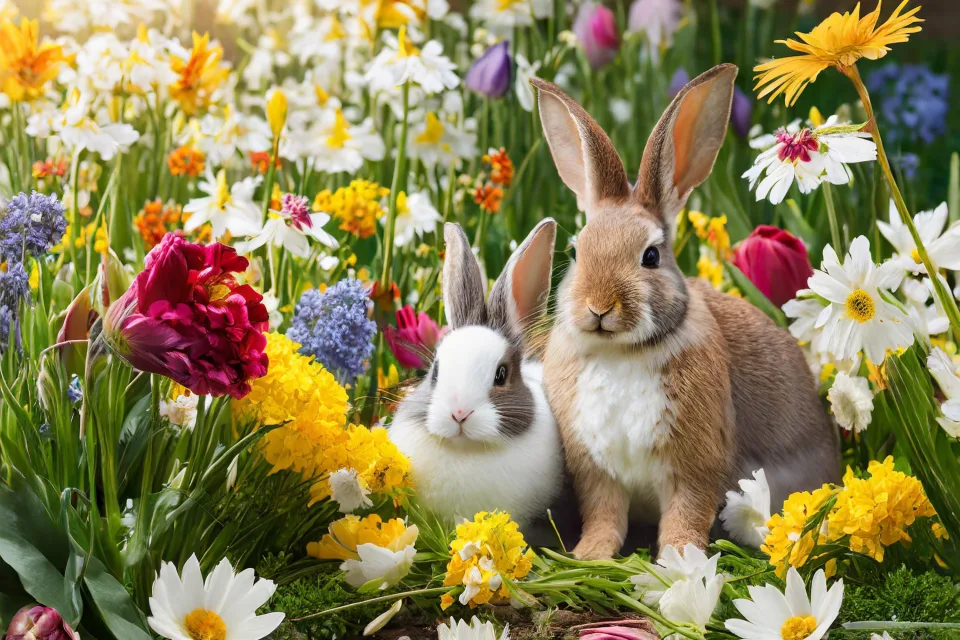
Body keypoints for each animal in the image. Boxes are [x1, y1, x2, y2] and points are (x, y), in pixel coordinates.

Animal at [530, 65, 840, 560]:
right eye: (577, 251)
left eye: (651, 256)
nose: (599, 306)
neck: (622, 352)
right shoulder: (597, 471)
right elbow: (604, 515)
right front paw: (590, 555)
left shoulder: (693, 467)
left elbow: (685, 515)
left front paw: (679, 562)